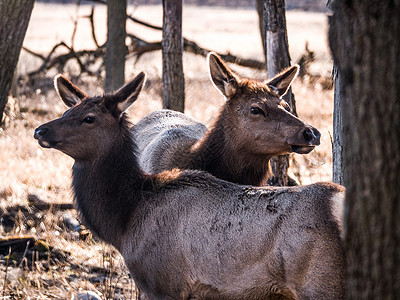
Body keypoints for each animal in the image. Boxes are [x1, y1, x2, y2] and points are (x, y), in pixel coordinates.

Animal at [34, 73, 346, 300]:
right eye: (68, 110)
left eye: (89, 118)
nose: (40, 130)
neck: (127, 218)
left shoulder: (162, 282)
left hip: (321, 283)